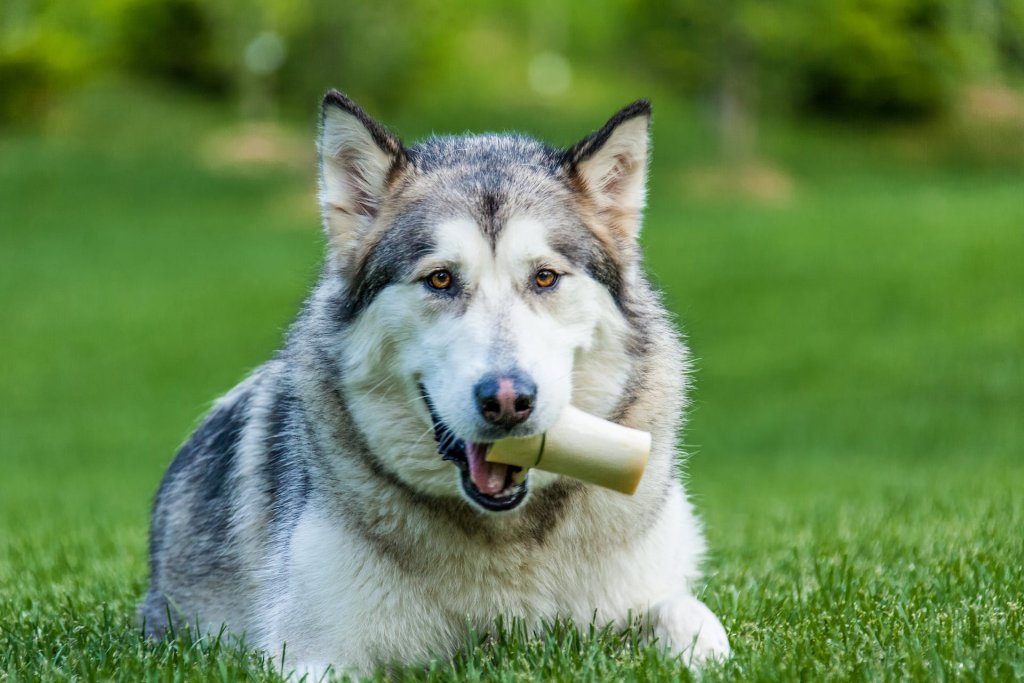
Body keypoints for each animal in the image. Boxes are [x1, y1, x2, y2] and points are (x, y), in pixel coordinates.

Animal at [138, 92, 729, 679]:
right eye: (440, 278)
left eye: (544, 277)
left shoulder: (647, 591)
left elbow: (692, 619)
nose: (507, 401)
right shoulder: (311, 654)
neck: (506, 536)